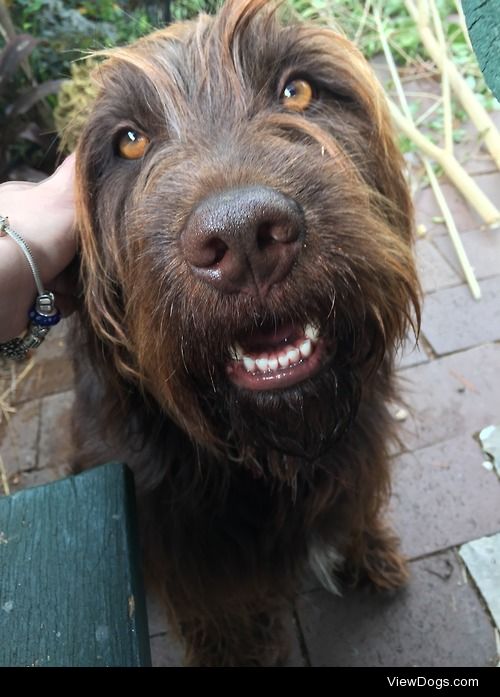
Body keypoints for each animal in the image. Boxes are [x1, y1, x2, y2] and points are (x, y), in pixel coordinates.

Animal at [72, 0, 420, 664]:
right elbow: (220, 620)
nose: (242, 236)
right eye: (129, 140)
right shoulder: (191, 556)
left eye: (298, 90)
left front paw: (370, 552)